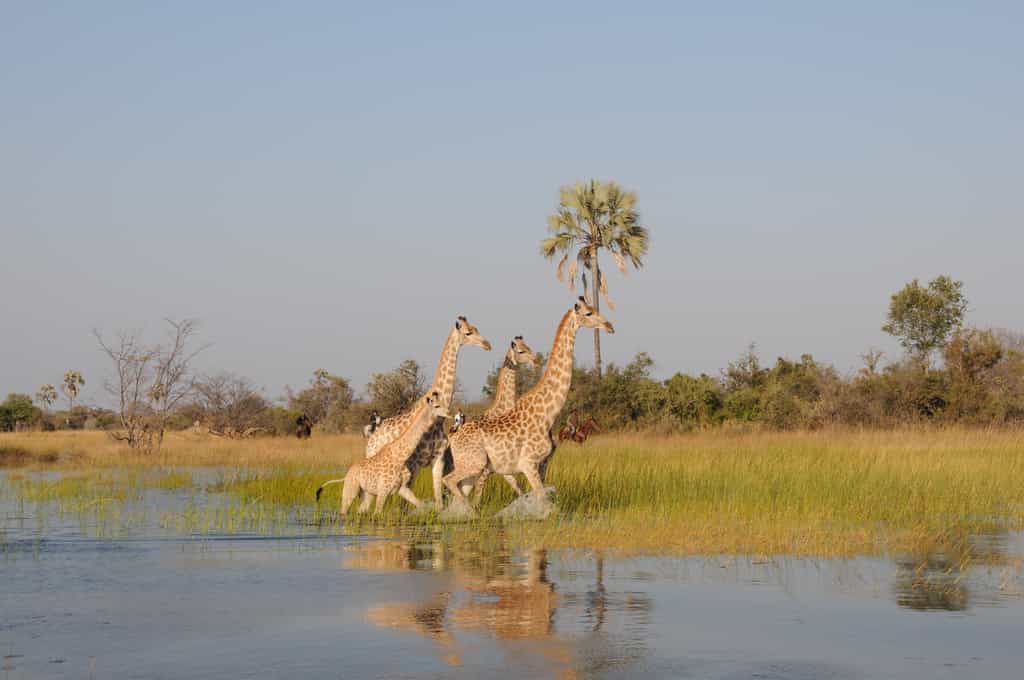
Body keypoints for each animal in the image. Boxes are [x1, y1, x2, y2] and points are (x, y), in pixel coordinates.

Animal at [315, 391, 450, 513]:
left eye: (445, 404)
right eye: (437, 406)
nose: (448, 413)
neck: (401, 456)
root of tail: (347, 474)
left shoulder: (402, 488)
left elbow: (421, 505)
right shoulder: (383, 490)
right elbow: (377, 514)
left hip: (367, 494)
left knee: (360, 510)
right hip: (350, 490)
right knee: (344, 511)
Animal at [364, 316, 491, 504]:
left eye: (477, 328)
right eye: (468, 332)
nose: (488, 344)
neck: (437, 421)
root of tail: (371, 438)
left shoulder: (438, 459)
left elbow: (438, 498)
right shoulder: (414, 463)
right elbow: (406, 502)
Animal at [446, 335, 539, 507]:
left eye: (529, 346)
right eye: (521, 351)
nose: (536, 362)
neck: (501, 409)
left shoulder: (502, 469)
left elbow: (519, 489)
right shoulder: (487, 470)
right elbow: (478, 497)